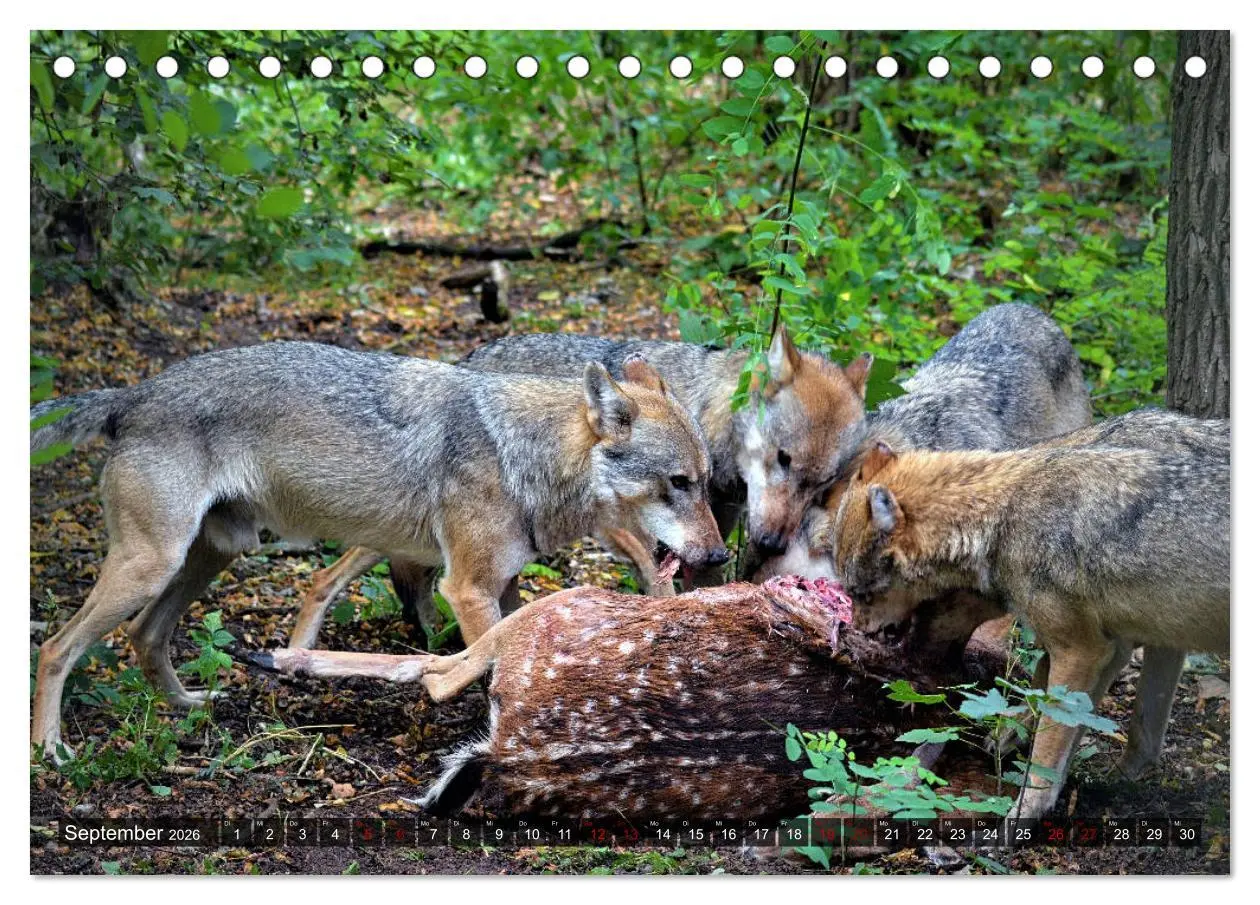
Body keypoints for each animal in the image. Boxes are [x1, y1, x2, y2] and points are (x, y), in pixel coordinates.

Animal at [29, 342, 726, 759]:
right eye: (679, 483)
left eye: (706, 480)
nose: (720, 560)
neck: (525, 456)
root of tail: (133, 393)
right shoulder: (466, 589)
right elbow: (488, 664)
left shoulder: (502, 587)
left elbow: (511, 659)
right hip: (153, 566)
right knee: (55, 648)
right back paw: (48, 751)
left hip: (208, 557)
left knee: (145, 635)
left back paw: (187, 708)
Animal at [291, 325, 873, 648]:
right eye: (782, 460)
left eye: (822, 483)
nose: (772, 543)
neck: (707, 412)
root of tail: (472, 358)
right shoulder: (637, 536)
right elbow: (661, 589)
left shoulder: (705, 542)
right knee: (354, 572)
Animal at [830, 408, 1231, 818]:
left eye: (860, 594)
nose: (856, 630)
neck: (1001, 519)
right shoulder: (1129, 642)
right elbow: (1115, 727)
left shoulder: (1085, 650)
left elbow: (1049, 740)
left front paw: (1025, 810)